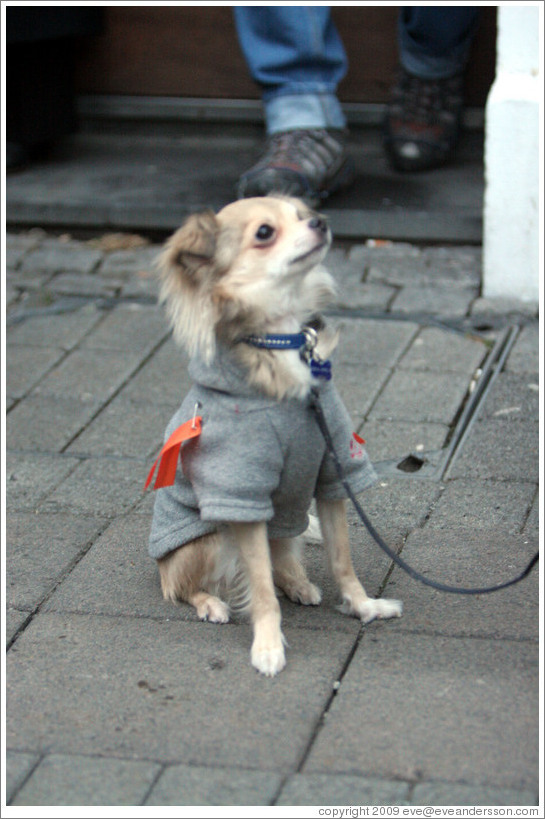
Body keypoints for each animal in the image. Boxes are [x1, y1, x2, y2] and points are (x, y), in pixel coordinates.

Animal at [148, 195, 400, 676]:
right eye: (265, 232)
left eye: (304, 213)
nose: (321, 221)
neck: (284, 343)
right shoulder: (243, 496)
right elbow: (261, 587)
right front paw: (267, 645)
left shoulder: (332, 472)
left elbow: (342, 559)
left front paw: (363, 607)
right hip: (209, 539)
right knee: (179, 586)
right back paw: (210, 603)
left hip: (287, 518)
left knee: (284, 555)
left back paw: (300, 584)